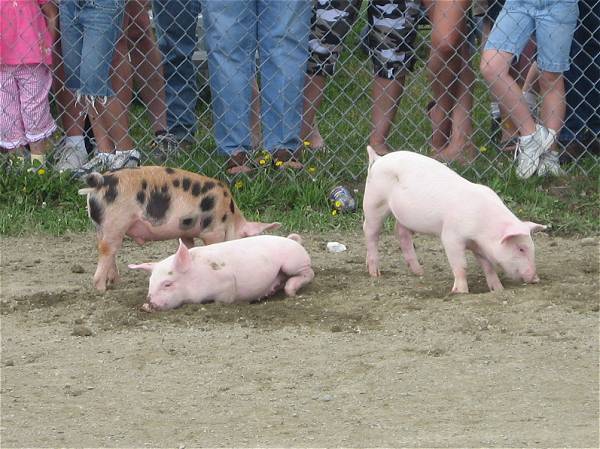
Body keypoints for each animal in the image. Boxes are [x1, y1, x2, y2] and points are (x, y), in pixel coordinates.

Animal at [78, 166, 280, 292]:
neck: (230, 215)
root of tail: (100, 183)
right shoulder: (212, 230)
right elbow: (211, 246)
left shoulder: (185, 231)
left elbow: (188, 247)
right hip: (116, 221)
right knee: (107, 250)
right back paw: (102, 289)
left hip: (102, 226)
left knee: (107, 249)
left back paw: (114, 283)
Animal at [128, 234, 314, 311]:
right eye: (150, 283)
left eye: (167, 284)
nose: (149, 304)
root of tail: (293, 240)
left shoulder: (227, 283)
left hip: (293, 263)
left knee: (309, 273)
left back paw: (290, 292)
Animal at [363, 146, 547, 293]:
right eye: (521, 249)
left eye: (532, 248)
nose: (536, 278)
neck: (482, 228)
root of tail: (378, 159)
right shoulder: (451, 236)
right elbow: (460, 265)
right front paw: (461, 292)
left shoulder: (479, 246)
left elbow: (488, 266)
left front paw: (498, 289)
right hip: (374, 201)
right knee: (370, 231)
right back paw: (375, 273)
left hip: (403, 215)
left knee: (401, 232)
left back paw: (420, 272)